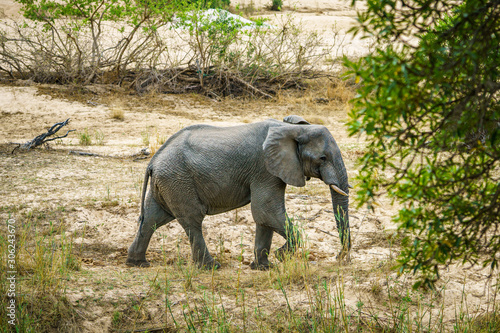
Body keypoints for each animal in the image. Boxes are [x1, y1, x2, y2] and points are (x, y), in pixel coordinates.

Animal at [127, 115, 350, 268]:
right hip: (178, 181)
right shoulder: (264, 168)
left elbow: (264, 217)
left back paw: (137, 263)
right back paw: (211, 267)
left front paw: (263, 267)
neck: (292, 128)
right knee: (192, 221)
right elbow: (266, 211)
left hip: (167, 182)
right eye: (323, 158)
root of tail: (153, 162)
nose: (338, 258)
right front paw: (280, 257)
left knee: (151, 219)